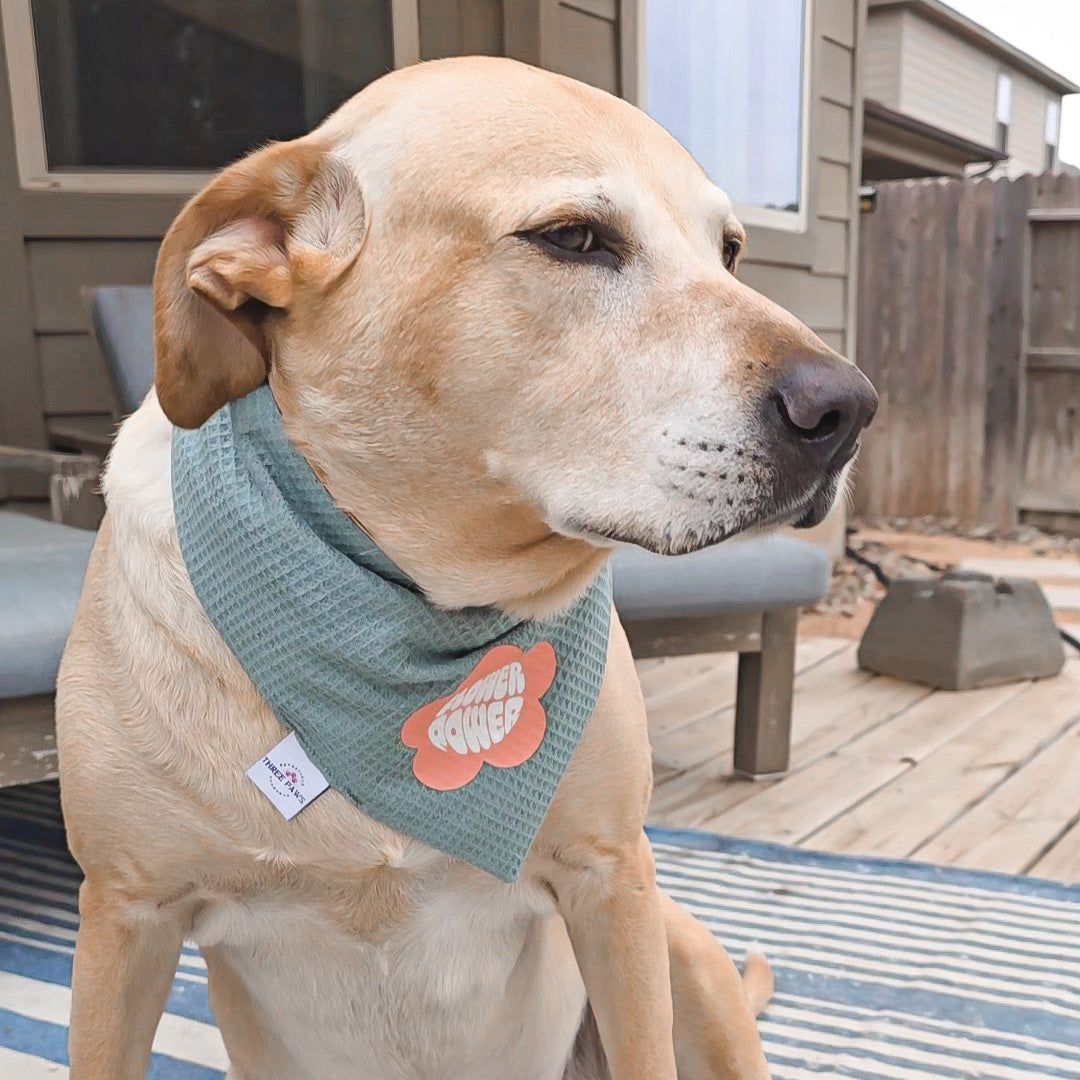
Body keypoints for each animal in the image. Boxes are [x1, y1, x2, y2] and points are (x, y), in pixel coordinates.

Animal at [54, 56, 872, 1080]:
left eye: (727, 251)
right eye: (573, 238)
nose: (849, 407)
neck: (411, 617)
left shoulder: (614, 881)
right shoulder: (124, 919)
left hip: (685, 954)